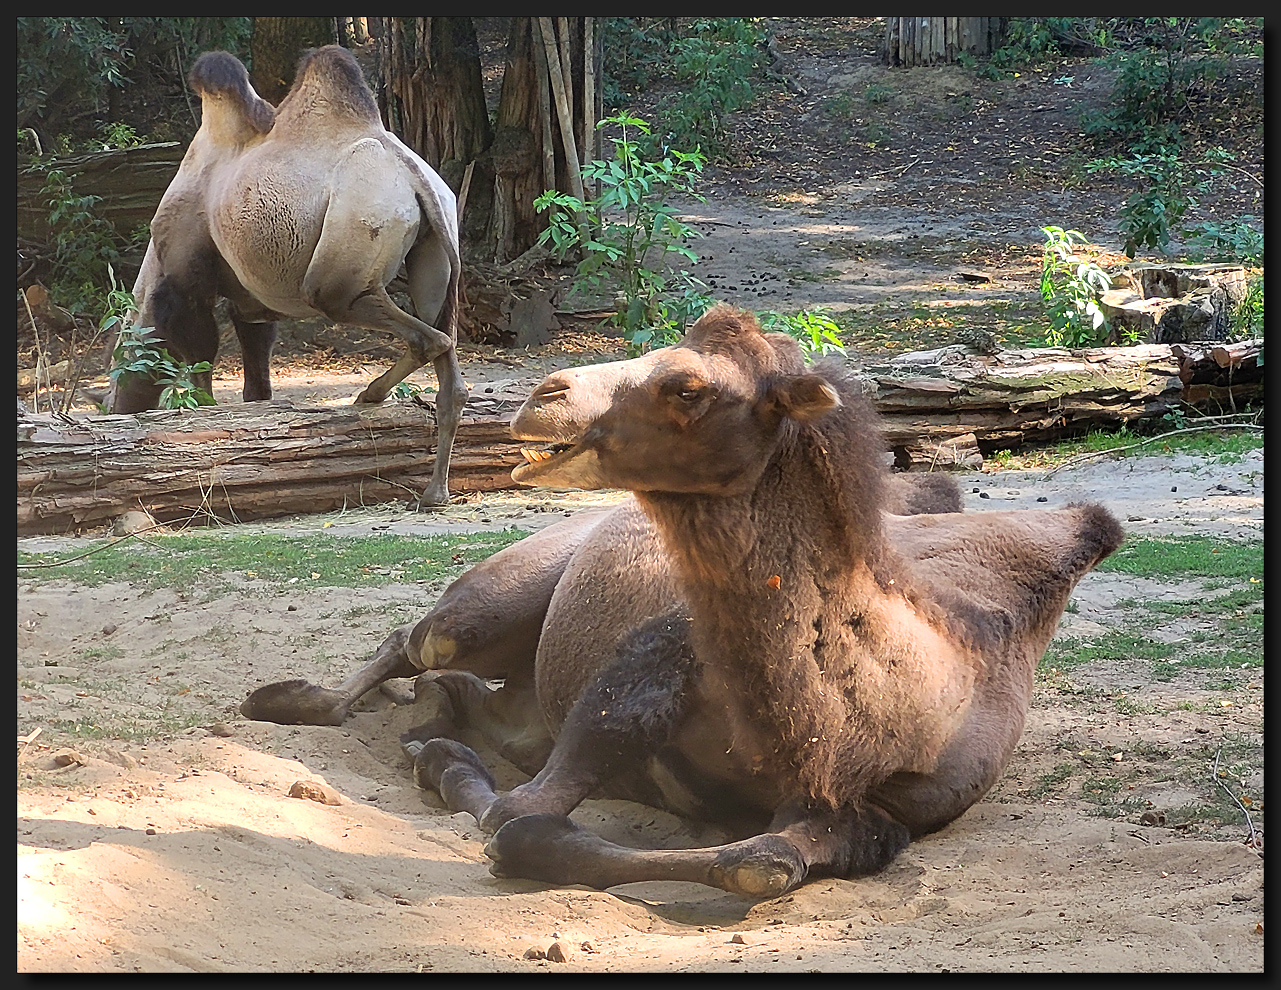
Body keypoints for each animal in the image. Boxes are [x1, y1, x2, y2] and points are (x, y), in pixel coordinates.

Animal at [105, 45, 466, 507]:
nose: (120, 409)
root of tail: (415, 178)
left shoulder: (188, 283)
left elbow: (202, 358)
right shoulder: (250, 304)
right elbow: (256, 378)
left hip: (346, 252)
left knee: (415, 332)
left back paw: (370, 396)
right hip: (436, 249)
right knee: (446, 350)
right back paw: (434, 489)